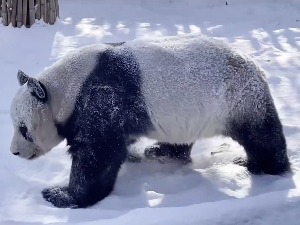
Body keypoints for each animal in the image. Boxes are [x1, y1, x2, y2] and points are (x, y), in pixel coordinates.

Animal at [9, 34, 290, 208]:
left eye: (24, 129)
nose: (14, 152)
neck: (65, 89)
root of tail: (254, 65)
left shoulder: (101, 94)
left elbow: (99, 152)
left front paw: (61, 195)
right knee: (181, 136)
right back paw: (160, 151)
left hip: (238, 99)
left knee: (261, 135)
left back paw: (262, 167)